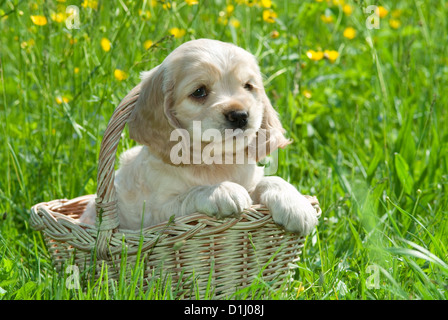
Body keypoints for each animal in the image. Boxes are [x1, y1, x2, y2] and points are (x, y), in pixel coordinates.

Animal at [80, 38, 318, 236]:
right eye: (199, 92)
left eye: (248, 86)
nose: (240, 116)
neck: (216, 160)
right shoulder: (158, 211)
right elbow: (191, 193)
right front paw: (223, 190)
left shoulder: (251, 179)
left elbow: (271, 179)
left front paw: (296, 205)